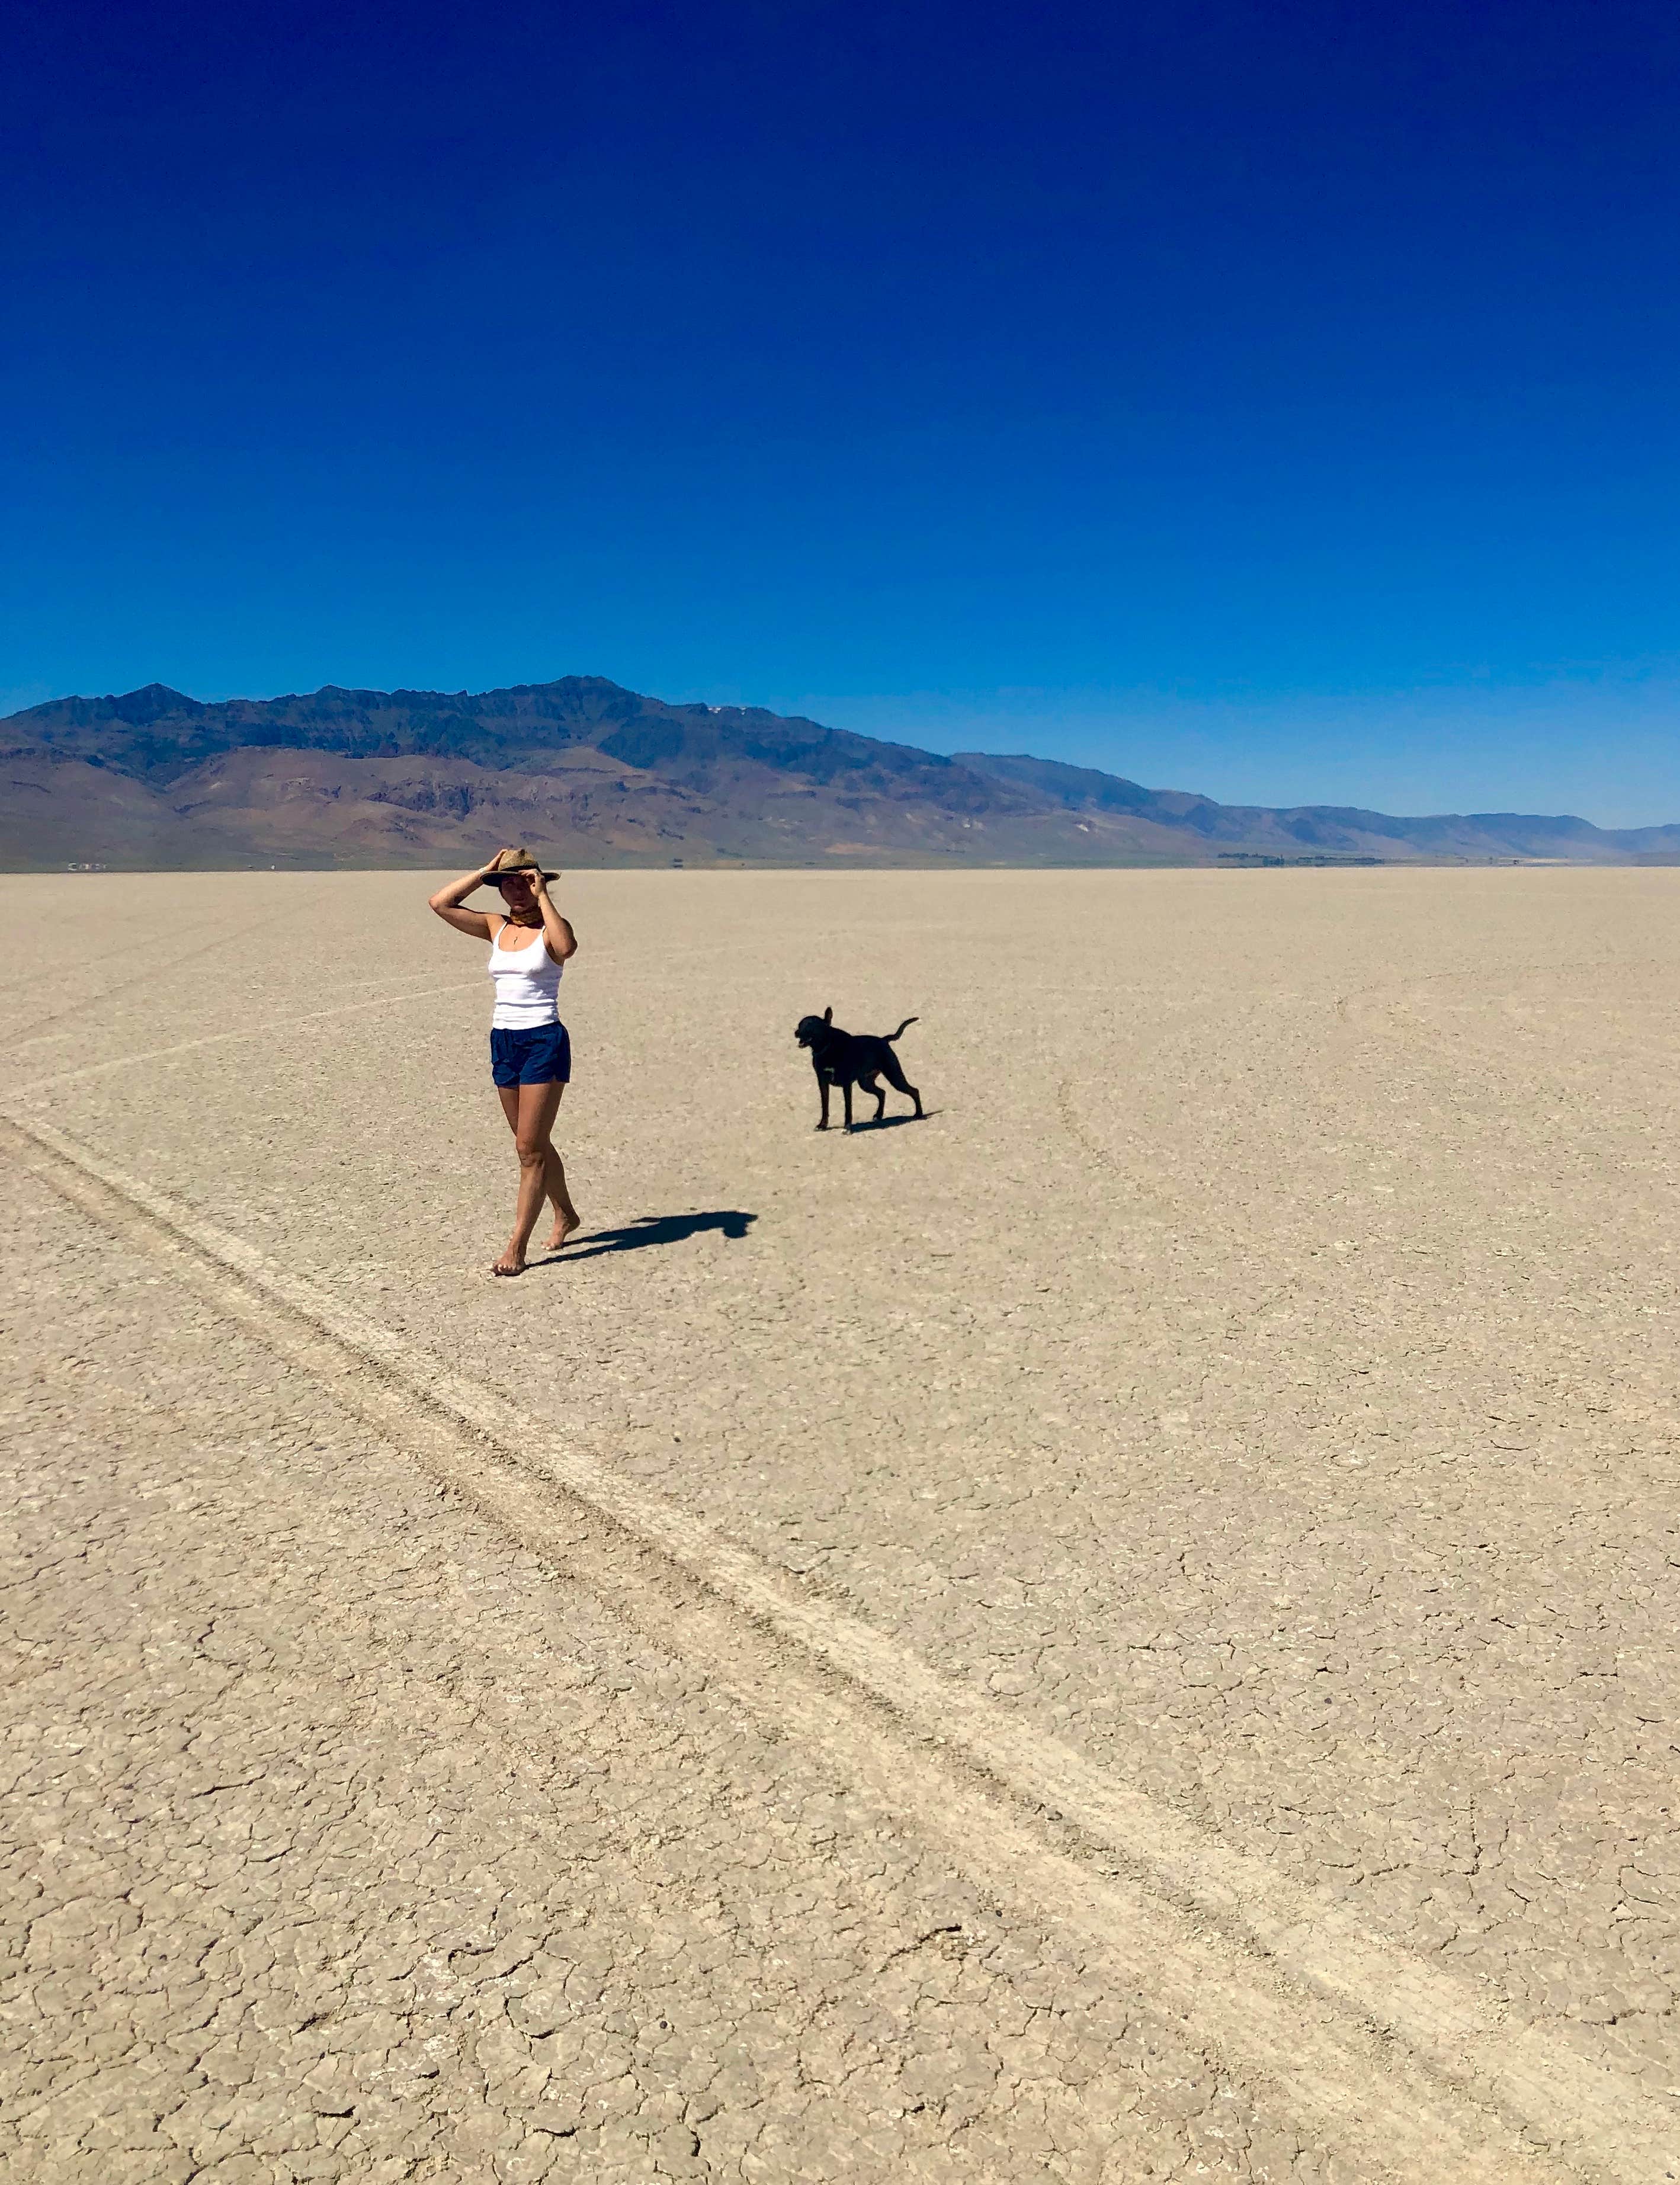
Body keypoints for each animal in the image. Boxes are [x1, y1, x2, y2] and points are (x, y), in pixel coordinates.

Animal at [795, 1005, 926, 1136]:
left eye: (811, 1025)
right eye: (800, 1025)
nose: (796, 1033)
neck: (827, 1047)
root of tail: (884, 1040)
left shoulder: (846, 1084)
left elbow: (848, 1108)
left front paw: (847, 1128)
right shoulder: (822, 1082)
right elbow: (825, 1106)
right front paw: (822, 1125)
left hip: (894, 1076)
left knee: (914, 1091)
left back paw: (919, 1114)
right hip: (866, 1083)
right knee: (882, 1092)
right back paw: (879, 1115)